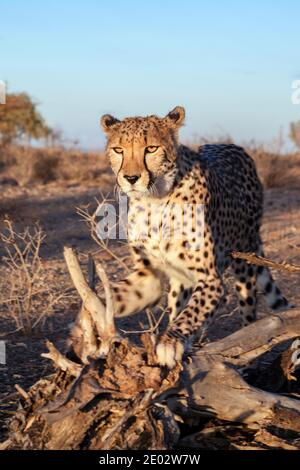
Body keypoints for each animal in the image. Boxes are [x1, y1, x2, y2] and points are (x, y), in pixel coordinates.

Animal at [100, 105, 290, 368]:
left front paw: (170, 341)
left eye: (151, 148)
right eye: (119, 150)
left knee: (247, 311)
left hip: (244, 260)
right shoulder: (149, 274)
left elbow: (191, 313)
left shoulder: (210, 278)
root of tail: (233, 146)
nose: (130, 178)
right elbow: (116, 296)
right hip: (182, 277)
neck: (154, 200)